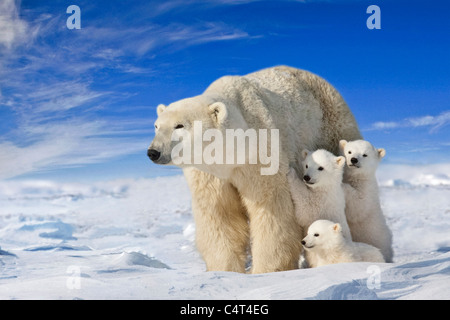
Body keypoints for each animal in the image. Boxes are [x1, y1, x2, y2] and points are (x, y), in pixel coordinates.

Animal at [148, 66, 362, 274]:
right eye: (157, 126)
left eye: (179, 125)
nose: (153, 152)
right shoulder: (209, 175)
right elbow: (220, 214)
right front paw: (225, 270)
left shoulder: (260, 156)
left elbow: (271, 210)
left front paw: (265, 271)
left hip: (332, 126)